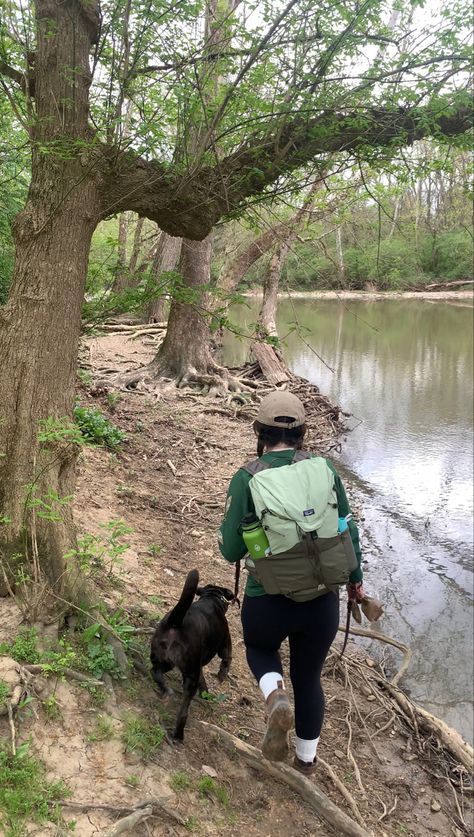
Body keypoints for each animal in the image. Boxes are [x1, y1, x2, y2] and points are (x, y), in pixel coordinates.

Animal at [151, 568, 234, 740]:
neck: (212, 598)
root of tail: (175, 622)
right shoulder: (225, 644)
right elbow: (227, 659)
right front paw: (222, 675)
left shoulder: (198, 665)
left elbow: (203, 681)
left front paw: (206, 694)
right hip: (189, 675)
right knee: (184, 710)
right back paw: (178, 735)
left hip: (164, 660)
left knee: (155, 672)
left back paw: (165, 690)